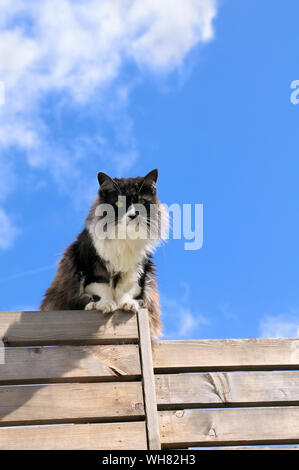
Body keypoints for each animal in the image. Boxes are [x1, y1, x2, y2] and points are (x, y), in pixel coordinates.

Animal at [39, 169, 169, 338]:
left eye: (141, 202)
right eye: (118, 203)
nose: (133, 215)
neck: (124, 237)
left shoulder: (136, 268)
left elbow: (127, 288)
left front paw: (126, 304)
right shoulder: (92, 266)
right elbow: (102, 287)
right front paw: (107, 304)